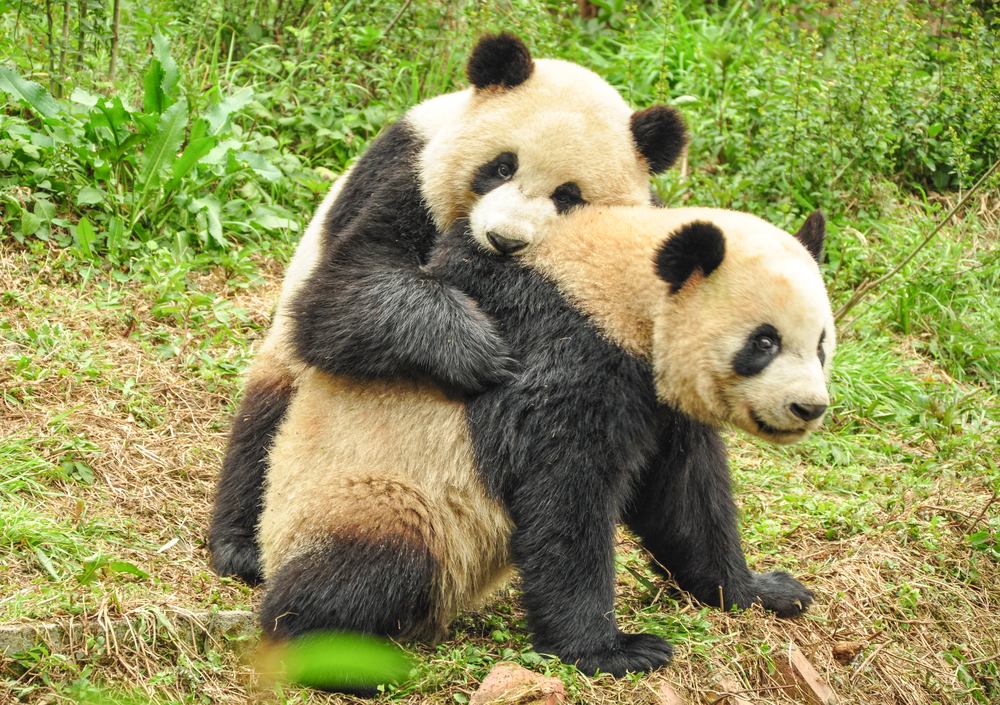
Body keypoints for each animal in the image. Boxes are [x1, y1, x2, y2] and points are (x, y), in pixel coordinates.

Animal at [208, 33, 688, 586]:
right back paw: (240, 545)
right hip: (284, 378)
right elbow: (337, 296)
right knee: (265, 426)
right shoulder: (410, 177)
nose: (504, 241)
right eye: (501, 166)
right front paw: (483, 353)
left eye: (569, 197)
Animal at [258, 204, 834, 687]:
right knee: (372, 559)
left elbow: (684, 496)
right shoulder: (565, 350)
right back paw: (335, 655)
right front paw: (614, 651)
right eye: (764, 342)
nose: (808, 407)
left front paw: (762, 590)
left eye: (822, 344)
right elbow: (564, 491)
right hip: (360, 495)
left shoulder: (658, 396)